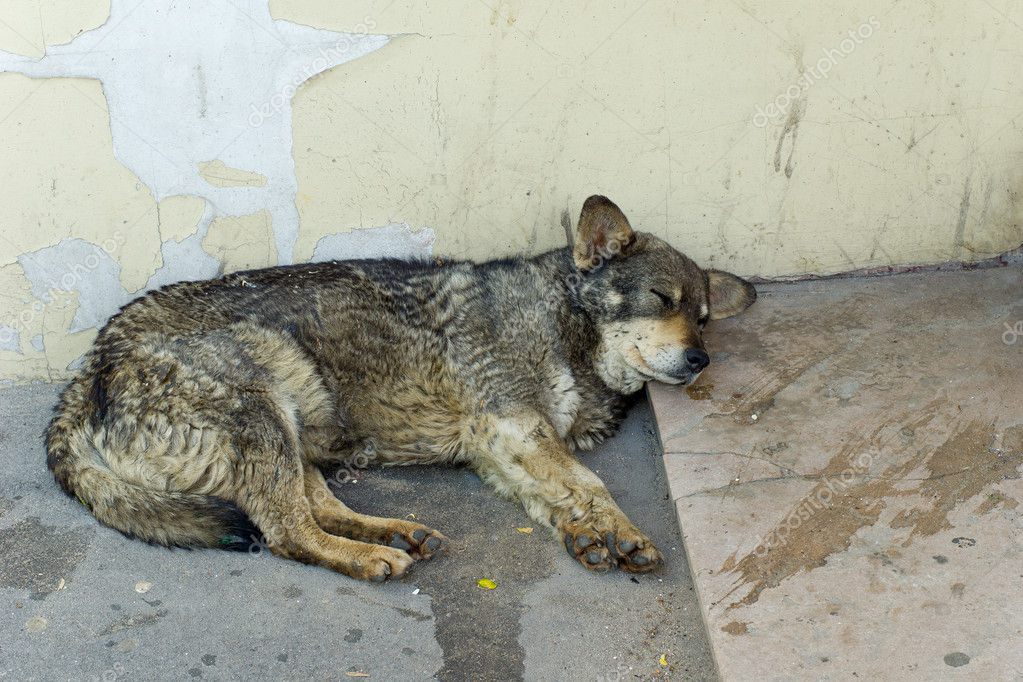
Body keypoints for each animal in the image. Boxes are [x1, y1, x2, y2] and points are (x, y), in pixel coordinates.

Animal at [46, 196, 752, 580]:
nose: (701, 359)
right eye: (661, 298)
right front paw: (620, 531)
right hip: (262, 406)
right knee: (287, 532)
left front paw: (583, 532)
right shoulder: (515, 426)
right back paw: (368, 559)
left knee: (314, 510)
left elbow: (557, 495)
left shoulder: (501, 446)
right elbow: (592, 484)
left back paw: (391, 534)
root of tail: (87, 370)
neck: (563, 320)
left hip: (288, 430)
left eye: (703, 316)